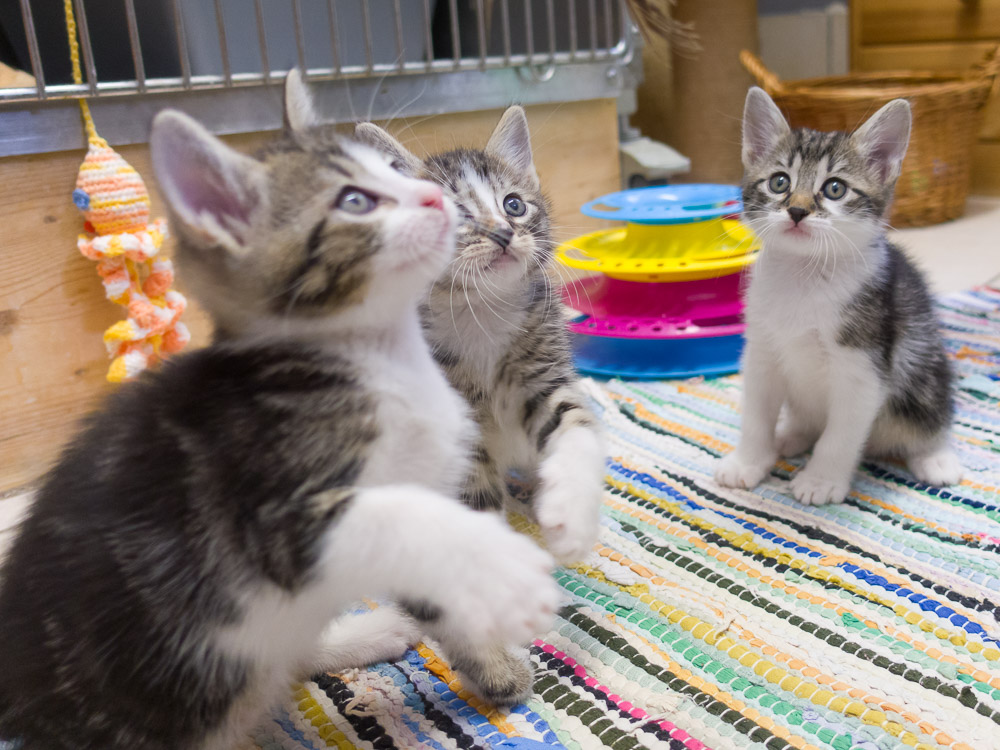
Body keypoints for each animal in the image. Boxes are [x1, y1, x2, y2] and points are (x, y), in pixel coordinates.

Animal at [356, 110, 604, 704]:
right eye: (453, 213)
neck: (481, 317)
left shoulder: (546, 372)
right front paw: (493, 656)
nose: (504, 231)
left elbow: (577, 426)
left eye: (513, 204)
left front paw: (572, 514)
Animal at [716, 88, 964, 508]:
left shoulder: (864, 367)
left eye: (835, 188)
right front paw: (749, 461)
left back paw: (936, 458)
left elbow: (841, 434)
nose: (797, 210)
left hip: (923, 366)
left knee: (930, 418)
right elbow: (756, 414)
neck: (804, 277)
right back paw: (792, 436)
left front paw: (821, 481)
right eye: (779, 182)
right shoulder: (761, 352)